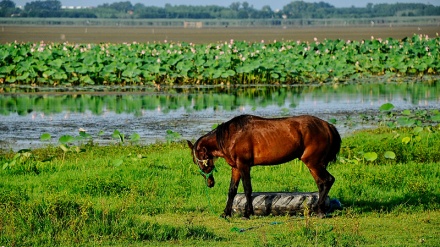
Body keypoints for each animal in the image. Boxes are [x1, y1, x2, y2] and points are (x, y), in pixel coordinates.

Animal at [187, 114, 342, 218]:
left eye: (198, 160)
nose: (210, 183)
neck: (231, 136)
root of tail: (327, 126)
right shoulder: (236, 168)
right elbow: (232, 190)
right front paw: (226, 213)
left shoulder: (244, 166)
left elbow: (247, 189)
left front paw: (247, 213)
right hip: (315, 165)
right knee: (321, 184)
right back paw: (319, 210)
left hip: (313, 163)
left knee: (328, 181)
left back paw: (320, 211)